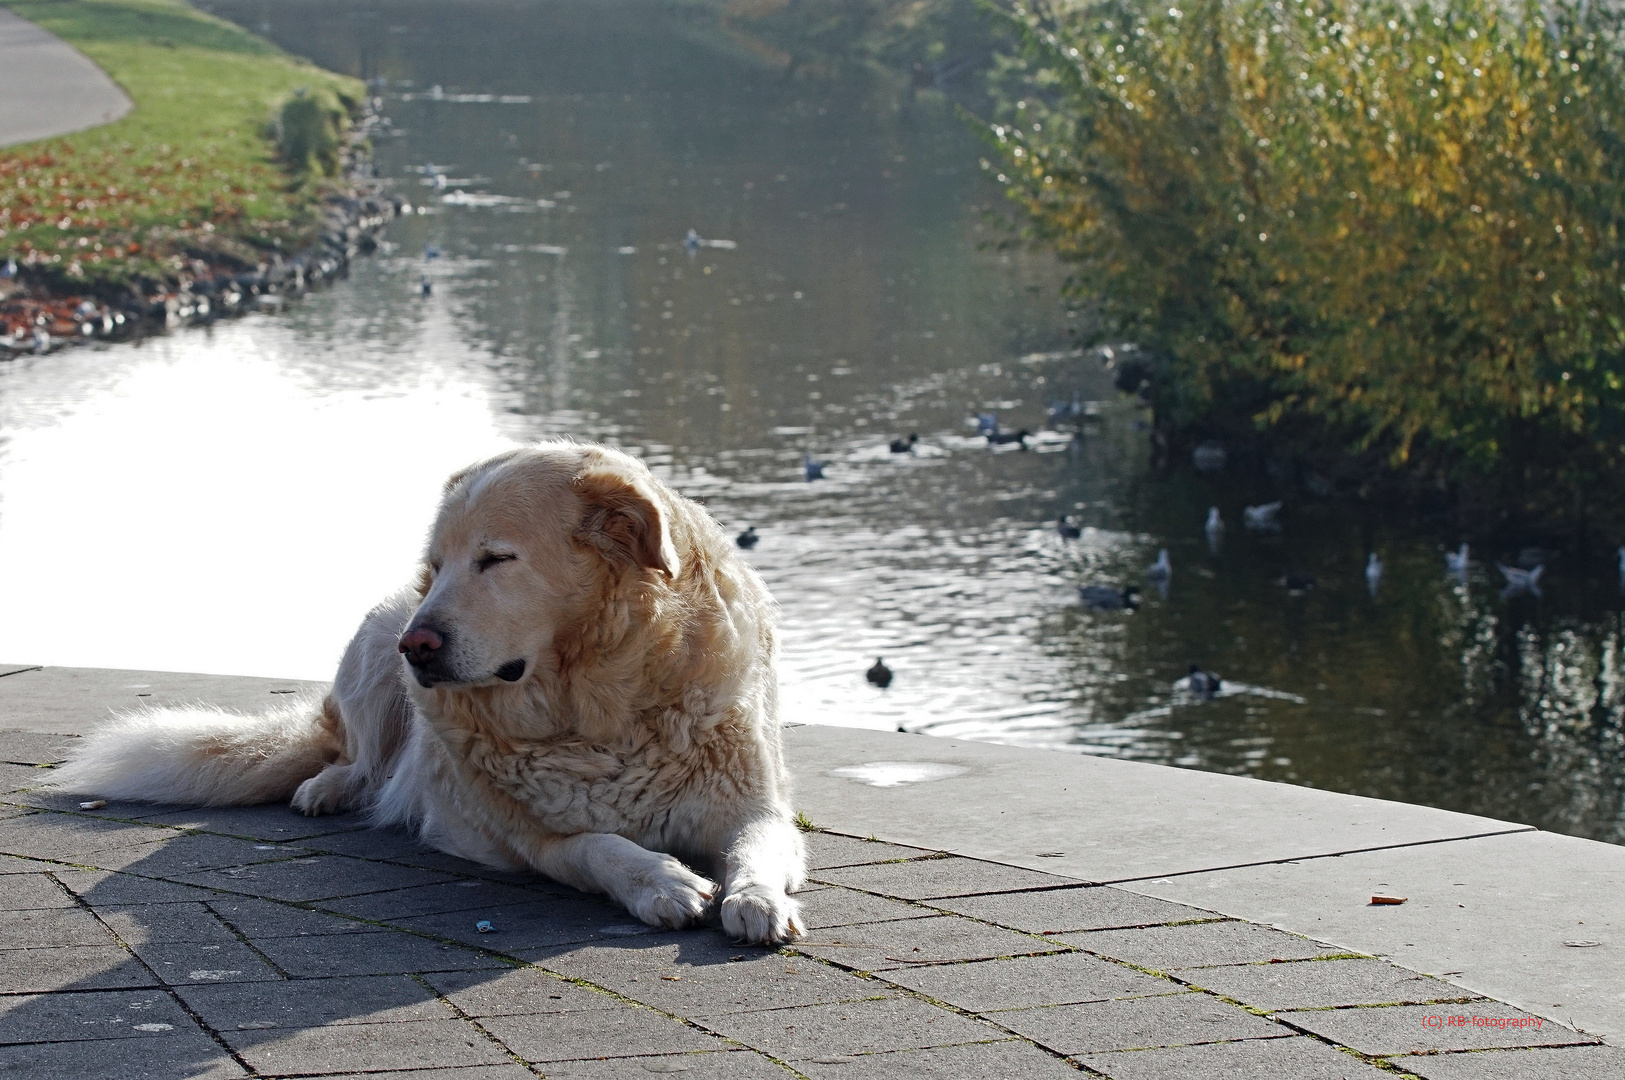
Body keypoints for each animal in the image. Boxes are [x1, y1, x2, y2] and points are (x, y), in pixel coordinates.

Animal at [50, 441, 806, 941]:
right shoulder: (538, 842)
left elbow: (758, 847)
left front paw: (758, 900)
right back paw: (329, 787)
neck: (600, 708)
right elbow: (602, 847)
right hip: (373, 643)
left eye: (495, 559)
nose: (418, 647)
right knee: (353, 754)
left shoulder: (753, 806)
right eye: (436, 566)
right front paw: (664, 881)